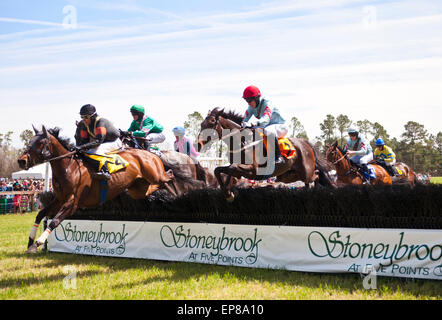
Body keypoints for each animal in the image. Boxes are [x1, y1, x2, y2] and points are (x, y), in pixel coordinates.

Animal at [17, 125, 188, 252]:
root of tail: (150, 153)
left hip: (156, 175)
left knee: (170, 176)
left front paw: (38, 242)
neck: (69, 168)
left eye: (40, 143)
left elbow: (54, 221)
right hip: (138, 189)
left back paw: (177, 194)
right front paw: (30, 241)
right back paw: (163, 196)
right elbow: (41, 214)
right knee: (157, 186)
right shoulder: (59, 199)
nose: (21, 161)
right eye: (30, 141)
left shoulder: (73, 203)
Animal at [195, 109, 334, 201]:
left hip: (306, 172)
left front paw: (228, 192)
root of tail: (305, 143)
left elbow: (232, 168)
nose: (198, 144)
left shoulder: (252, 170)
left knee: (316, 176)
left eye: (212, 122)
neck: (242, 141)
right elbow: (218, 170)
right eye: (201, 124)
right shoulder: (239, 169)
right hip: (287, 176)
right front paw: (227, 192)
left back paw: (316, 191)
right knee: (310, 179)